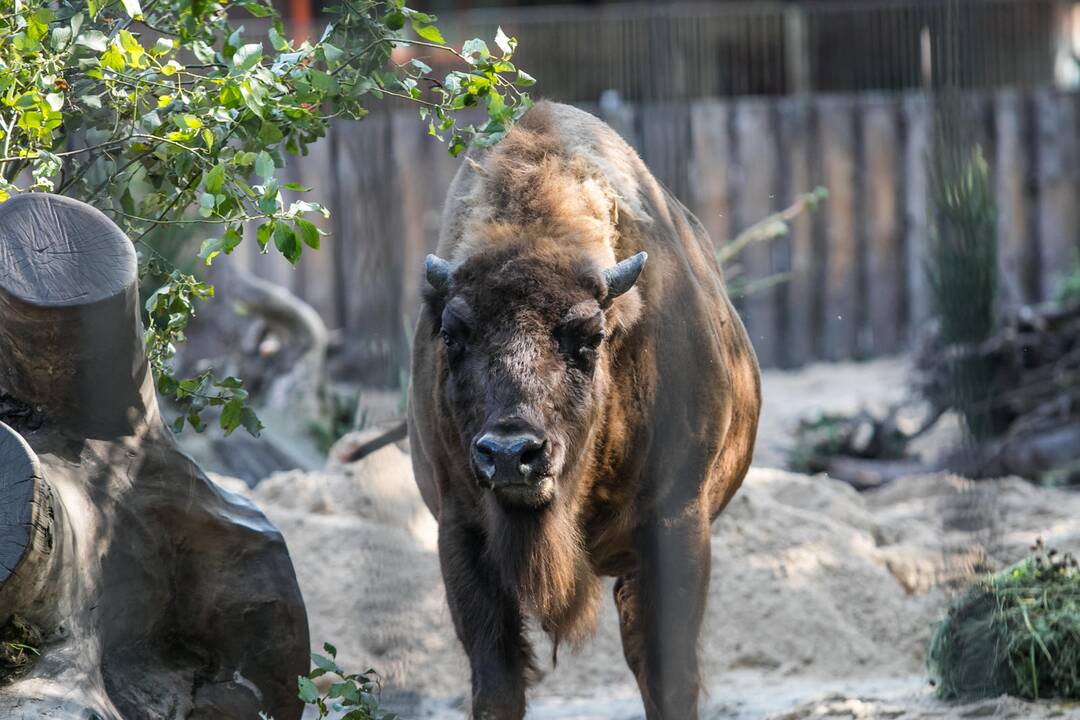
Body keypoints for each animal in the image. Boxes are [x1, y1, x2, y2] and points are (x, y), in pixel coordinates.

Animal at [408, 102, 764, 720]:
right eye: (451, 335)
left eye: (589, 338)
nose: (511, 455)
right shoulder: (460, 532)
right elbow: (496, 681)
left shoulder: (677, 525)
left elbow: (671, 676)